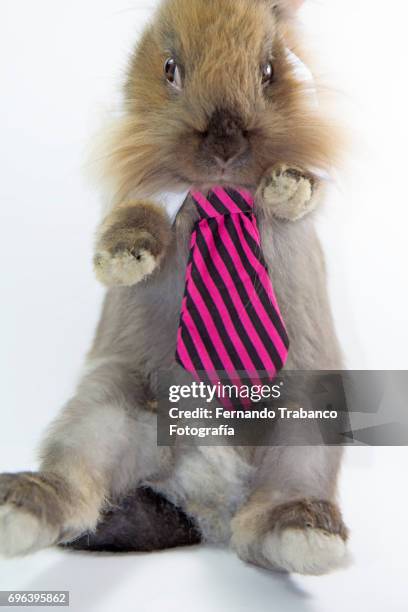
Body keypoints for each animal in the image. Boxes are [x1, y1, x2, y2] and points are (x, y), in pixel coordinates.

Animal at [0, 0, 350, 576]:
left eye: (269, 71)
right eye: (169, 69)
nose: (225, 144)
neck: (216, 192)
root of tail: (206, 504)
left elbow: (302, 191)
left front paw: (285, 184)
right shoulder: (143, 198)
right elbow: (138, 217)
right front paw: (121, 260)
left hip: (305, 424)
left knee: (269, 515)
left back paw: (308, 536)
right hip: (106, 409)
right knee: (76, 485)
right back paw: (19, 508)